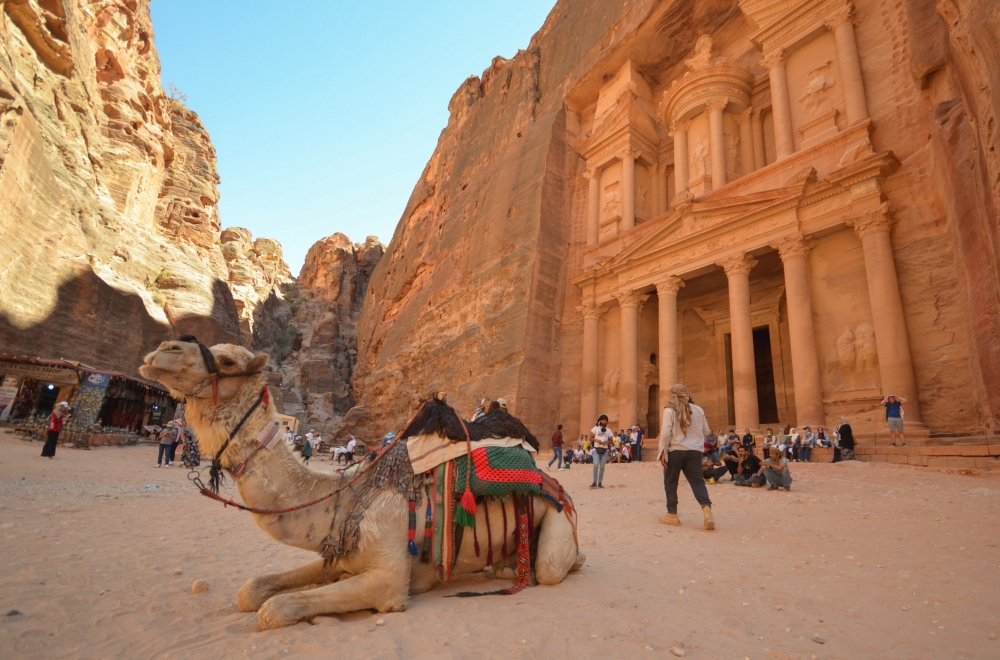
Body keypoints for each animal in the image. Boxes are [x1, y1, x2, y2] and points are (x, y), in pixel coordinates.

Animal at [137, 340, 584, 628]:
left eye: (227, 361)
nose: (163, 350)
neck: (341, 498)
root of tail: (555, 485)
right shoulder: (339, 552)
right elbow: (253, 590)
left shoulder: (388, 576)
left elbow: (275, 609)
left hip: (557, 524)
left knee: (550, 567)